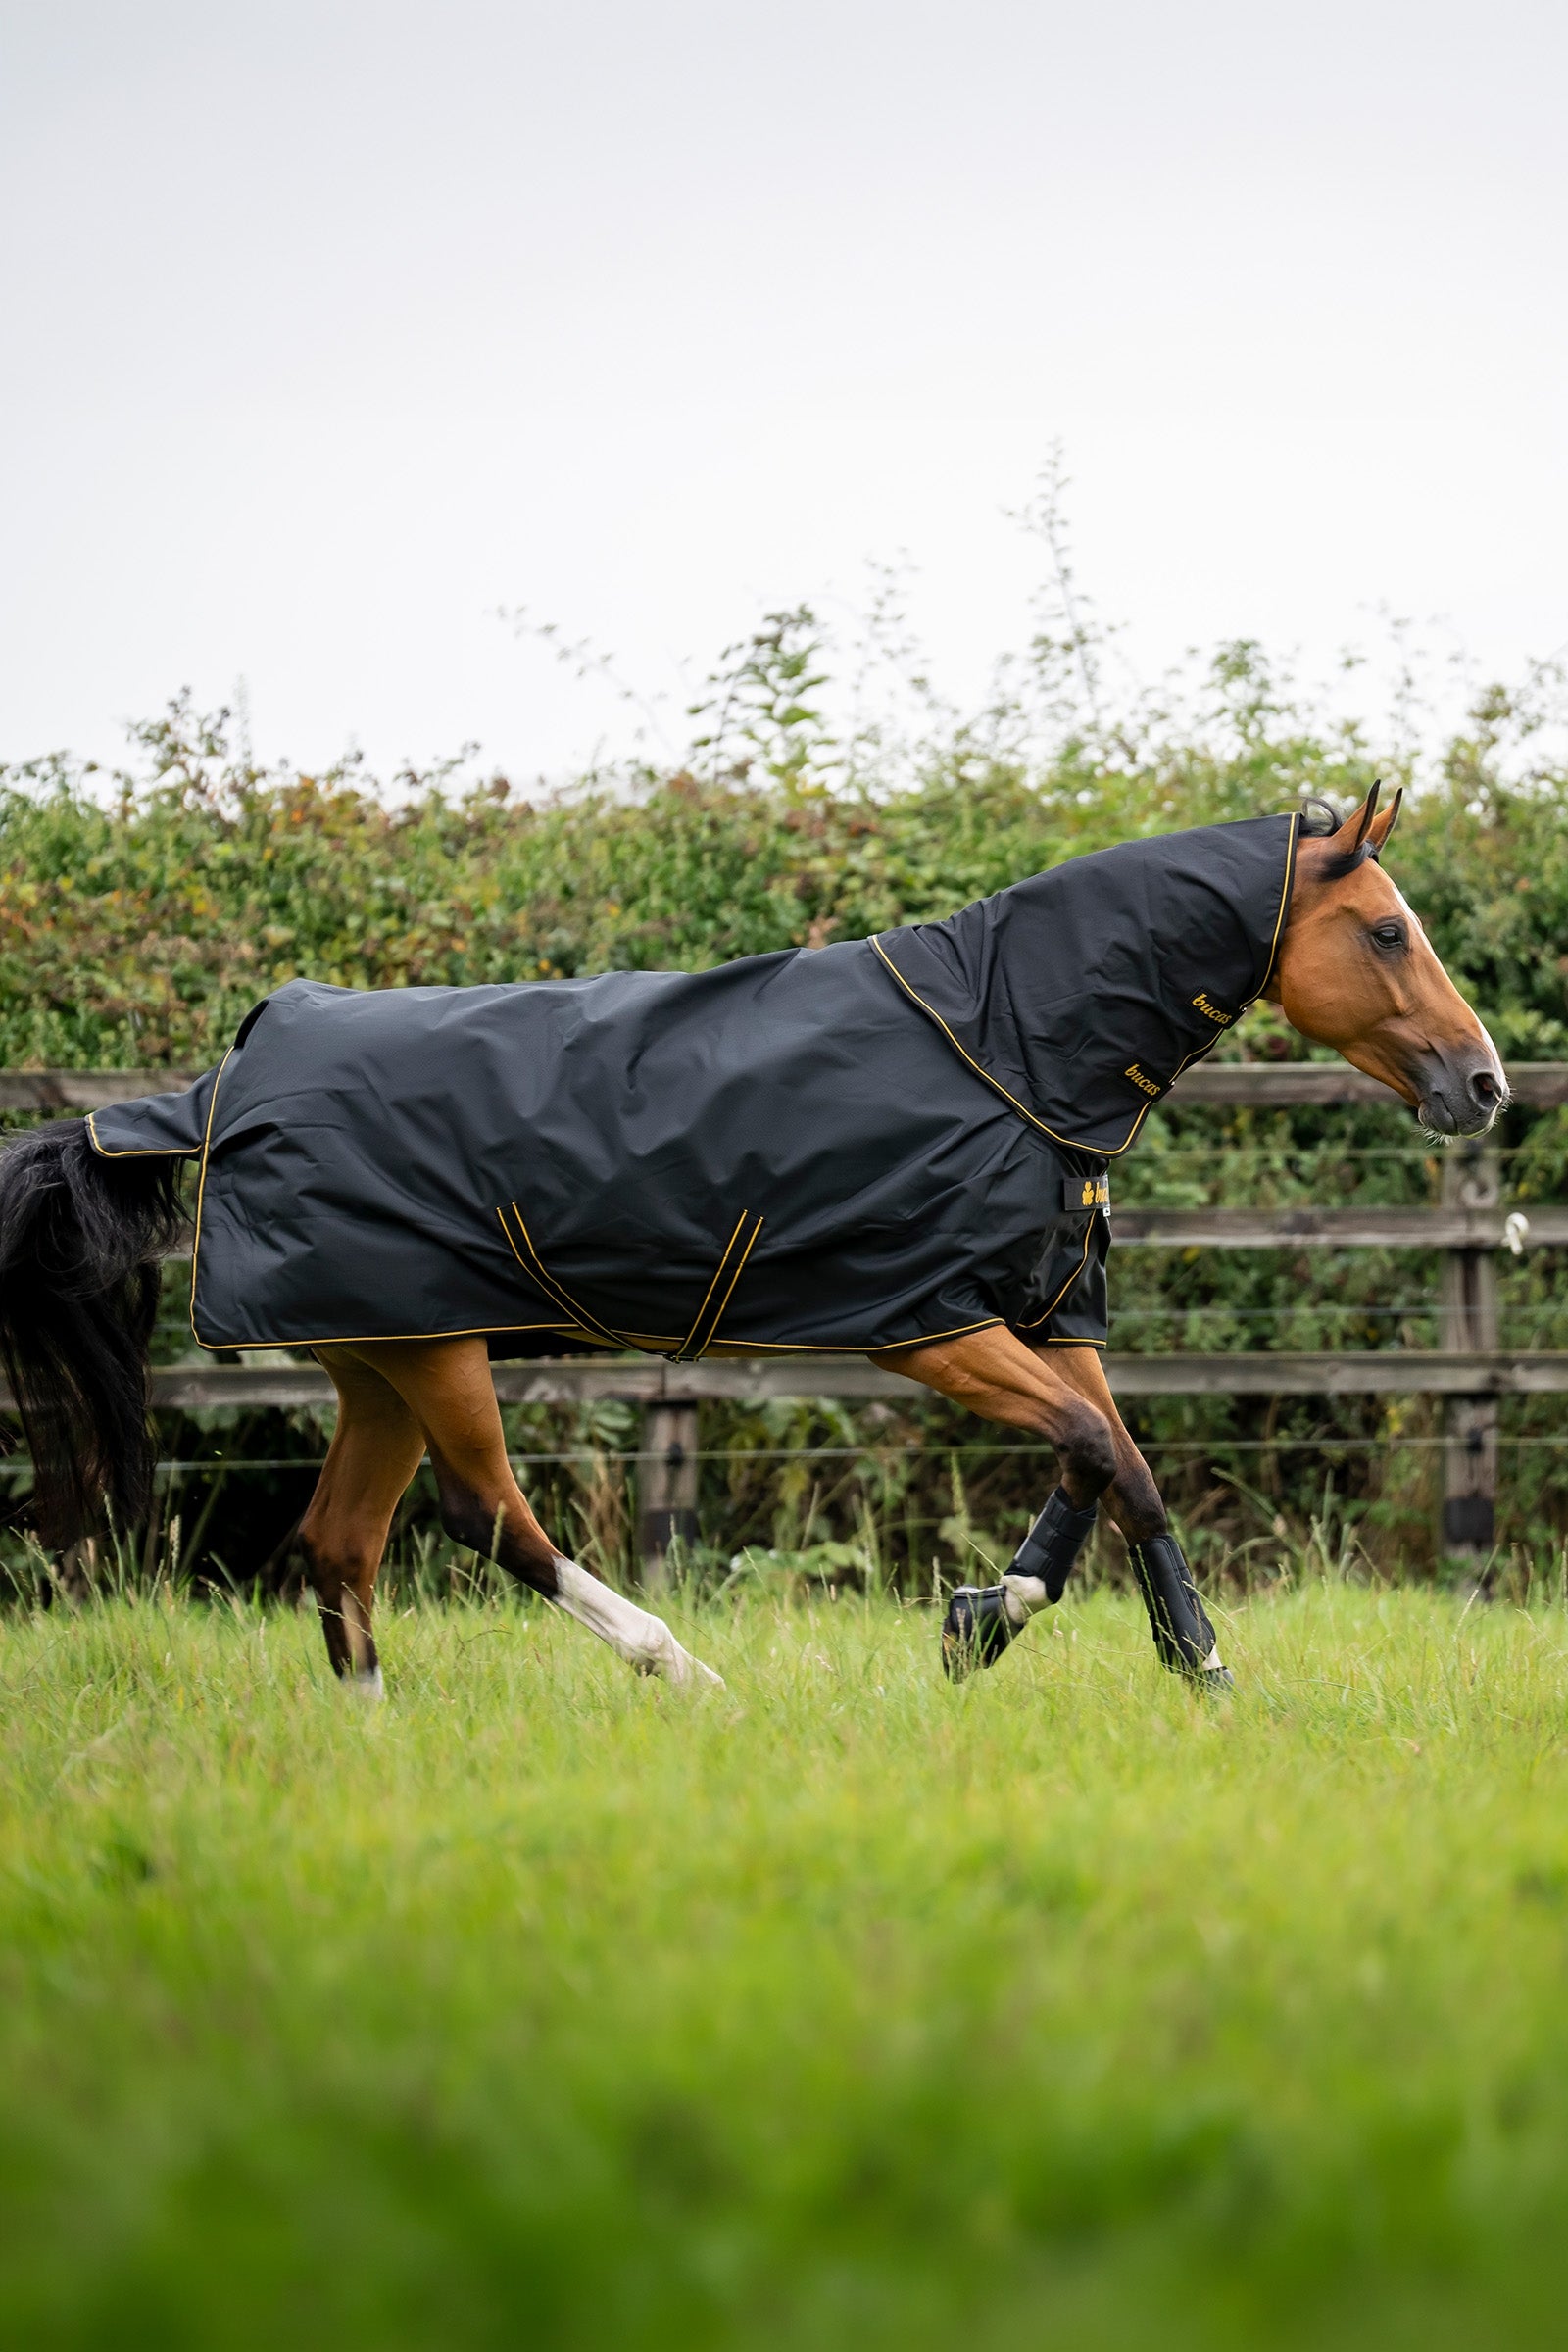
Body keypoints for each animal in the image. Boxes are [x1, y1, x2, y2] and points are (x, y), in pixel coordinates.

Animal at [0, 785, 1504, 1696]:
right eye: (1386, 930)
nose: (1484, 1084)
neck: (1002, 1040)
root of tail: (229, 1077)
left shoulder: (1033, 1310)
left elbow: (1115, 1460)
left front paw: (1051, 1635)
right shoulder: (931, 1323)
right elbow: (1099, 1453)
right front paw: (1078, 1639)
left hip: (379, 1351)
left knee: (340, 1545)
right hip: (436, 1353)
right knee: (486, 1520)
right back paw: (683, 1672)